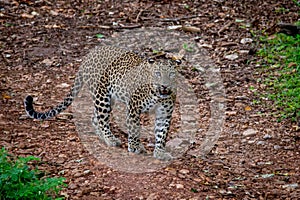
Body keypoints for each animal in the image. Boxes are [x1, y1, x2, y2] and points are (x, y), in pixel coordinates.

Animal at [24, 45, 180, 161]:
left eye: (171, 74)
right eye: (158, 74)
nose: (165, 85)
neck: (159, 95)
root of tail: (89, 55)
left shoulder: (164, 114)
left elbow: (162, 133)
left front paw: (160, 152)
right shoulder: (134, 107)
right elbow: (134, 128)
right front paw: (135, 147)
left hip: (109, 99)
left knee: (95, 118)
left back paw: (101, 136)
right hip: (102, 96)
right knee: (102, 119)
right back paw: (110, 139)